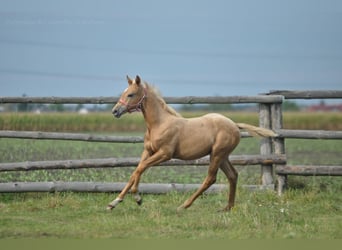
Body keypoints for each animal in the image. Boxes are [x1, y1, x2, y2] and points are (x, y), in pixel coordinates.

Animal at [108, 75, 276, 212]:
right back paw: (227, 208)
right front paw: (114, 202)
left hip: (217, 154)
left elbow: (141, 168)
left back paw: (184, 205)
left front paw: (137, 198)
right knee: (233, 175)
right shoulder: (148, 151)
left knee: (211, 179)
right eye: (123, 92)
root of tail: (234, 124)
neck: (159, 124)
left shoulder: (165, 154)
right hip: (222, 156)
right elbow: (135, 172)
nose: (115, 111)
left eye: (131, 94)